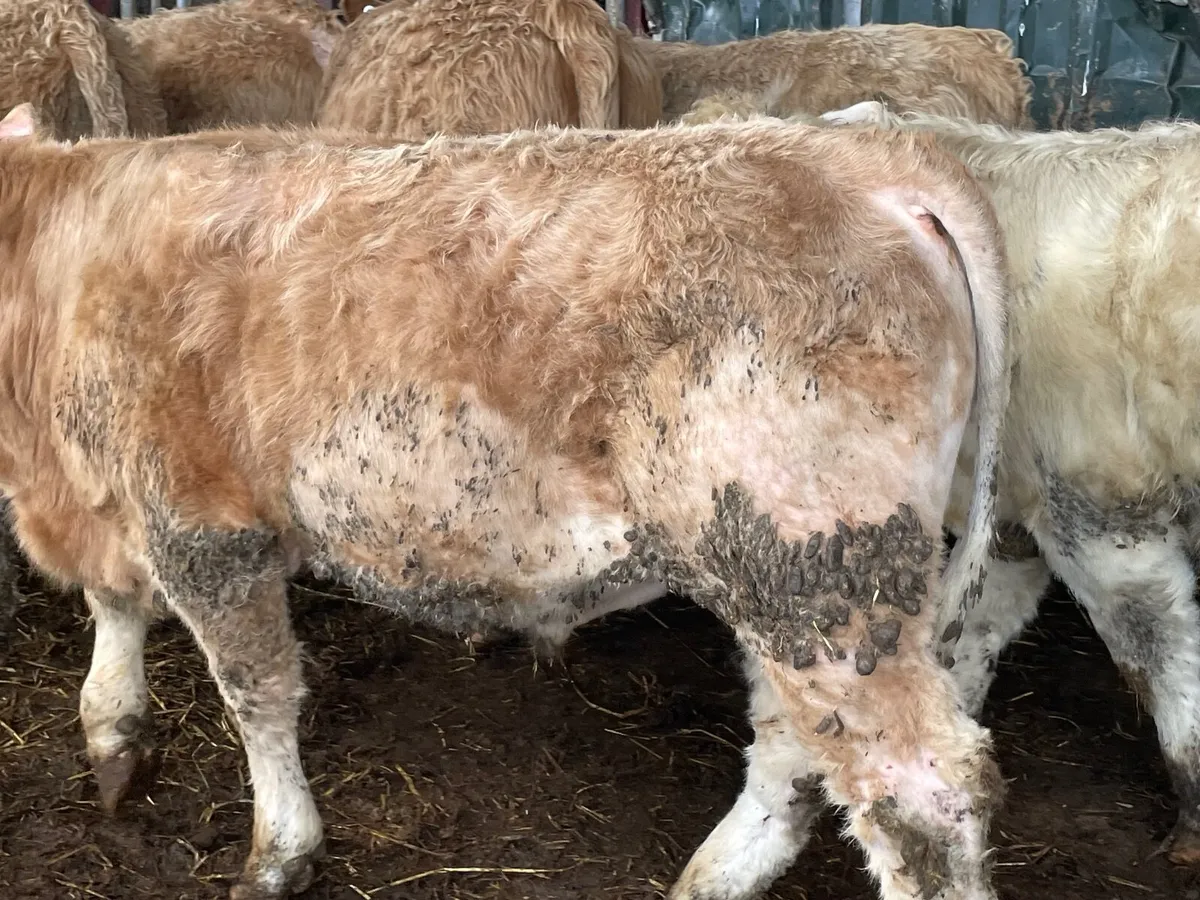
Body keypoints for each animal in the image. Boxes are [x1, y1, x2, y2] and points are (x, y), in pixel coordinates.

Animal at [0, 103, 1010, 900]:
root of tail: (861, 149)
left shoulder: (203, 523)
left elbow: (257, 694)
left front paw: (279, 852)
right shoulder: (104, 504)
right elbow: (114, 606)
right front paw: (113, 732)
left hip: (819, 561)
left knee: (918, 790)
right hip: (782, 568)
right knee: (795, 748)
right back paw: (717, 871)